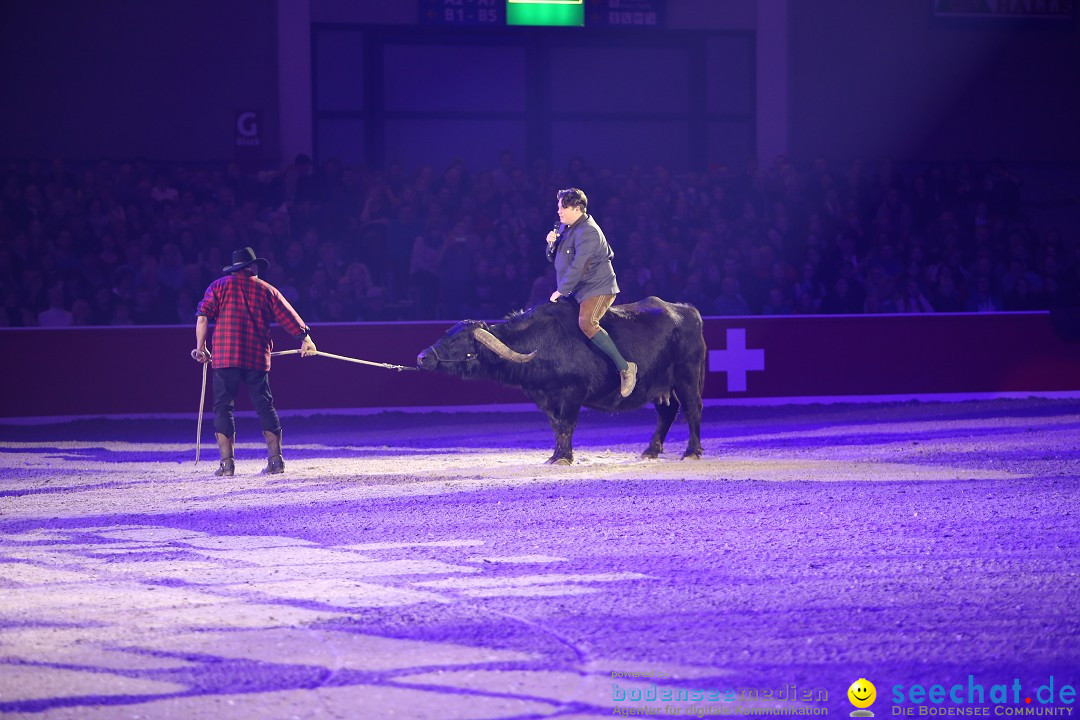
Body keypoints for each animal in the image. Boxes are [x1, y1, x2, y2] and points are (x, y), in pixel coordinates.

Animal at [414, 295, 708, 464]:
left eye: (458, 341)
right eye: (446, 334)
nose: (422, 356)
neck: (540, 342)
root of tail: (688, 312)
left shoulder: (571, 394)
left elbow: (566, 426)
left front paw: (564, 458)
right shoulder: (547, 399)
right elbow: (556, 428)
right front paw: (556, 455)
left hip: (687, 377)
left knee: (693, 409)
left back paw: (692, 451)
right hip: (659, 387)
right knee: (667, 412)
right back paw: (651, 450)